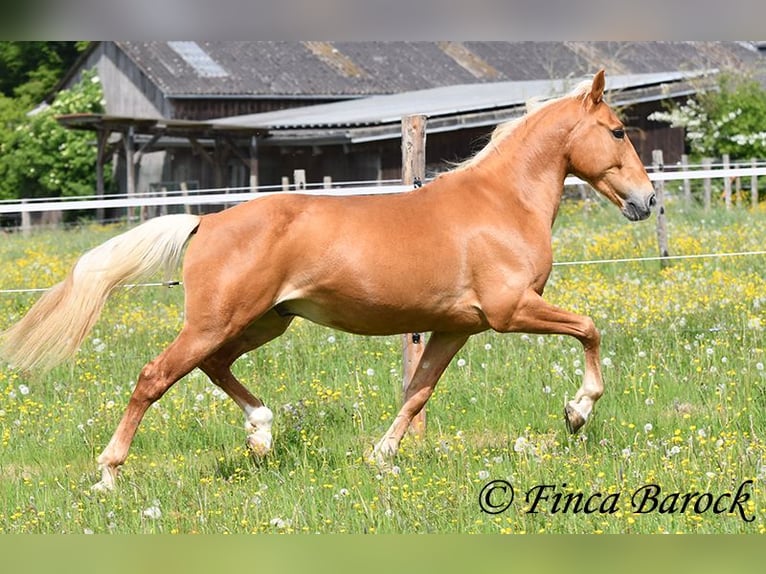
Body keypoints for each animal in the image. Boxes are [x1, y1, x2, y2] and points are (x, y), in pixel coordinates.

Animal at [0, 70, 655, 491]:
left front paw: (382, 457)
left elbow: (417, 392)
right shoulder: (510, 310)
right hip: (217, 320)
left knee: (215, 367)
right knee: (154, 377)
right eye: (618, 132)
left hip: (264, 323)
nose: (648, 201)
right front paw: (577, 412)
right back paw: (108, 474)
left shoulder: (455, 328)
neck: (500, 204)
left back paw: (261, 434)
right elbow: (590, 329)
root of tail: (206, 222)